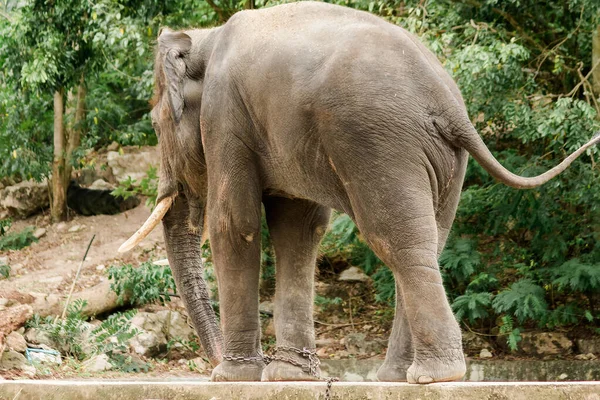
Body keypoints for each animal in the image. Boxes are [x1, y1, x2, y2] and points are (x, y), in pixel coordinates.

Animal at [118, 1, 600, 386]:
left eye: (156, 125)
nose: (211, 363)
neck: (205, 37)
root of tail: (450, 104)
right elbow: (298, 229)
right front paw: (290, 377)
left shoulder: (225, 118)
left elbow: (234, 224)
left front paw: (233, 377)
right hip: (442, 161)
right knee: (428, 243)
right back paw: (398, 377)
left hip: (376, 142)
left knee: (395, 239)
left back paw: (432, 376)